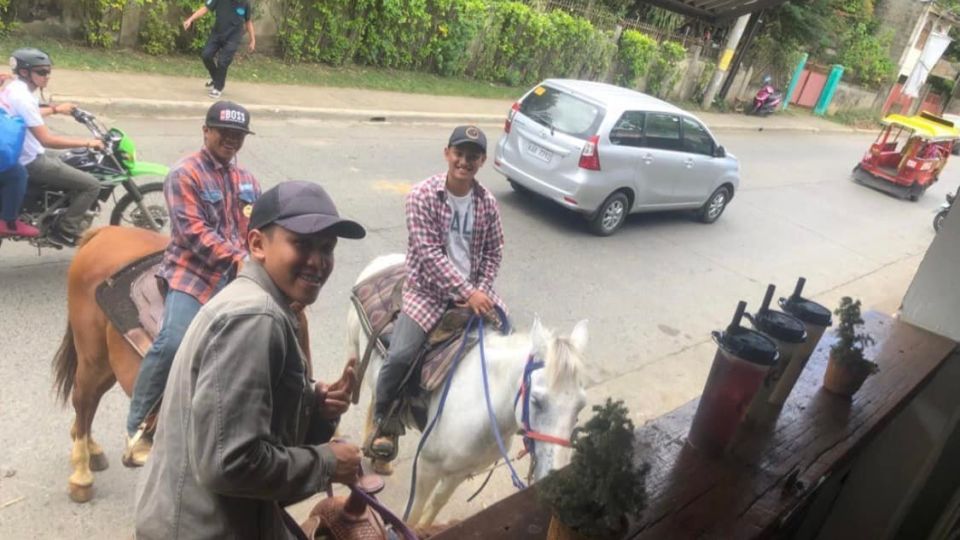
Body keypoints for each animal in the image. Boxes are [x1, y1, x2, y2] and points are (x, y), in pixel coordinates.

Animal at [51, 226, 312, 504]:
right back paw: (82, 473)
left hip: (106, 366)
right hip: (93, 355)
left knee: (90, 401)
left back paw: (92, 450)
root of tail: (104, 232)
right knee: (84, 399)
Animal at [348, 254, 588, 528]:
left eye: (581, 405)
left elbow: (437, 504)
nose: (556, 482)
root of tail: (385, 259)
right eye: (537, 400)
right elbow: (414, 513)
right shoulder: (427, 467)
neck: (482, 407)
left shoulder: (460, 472)